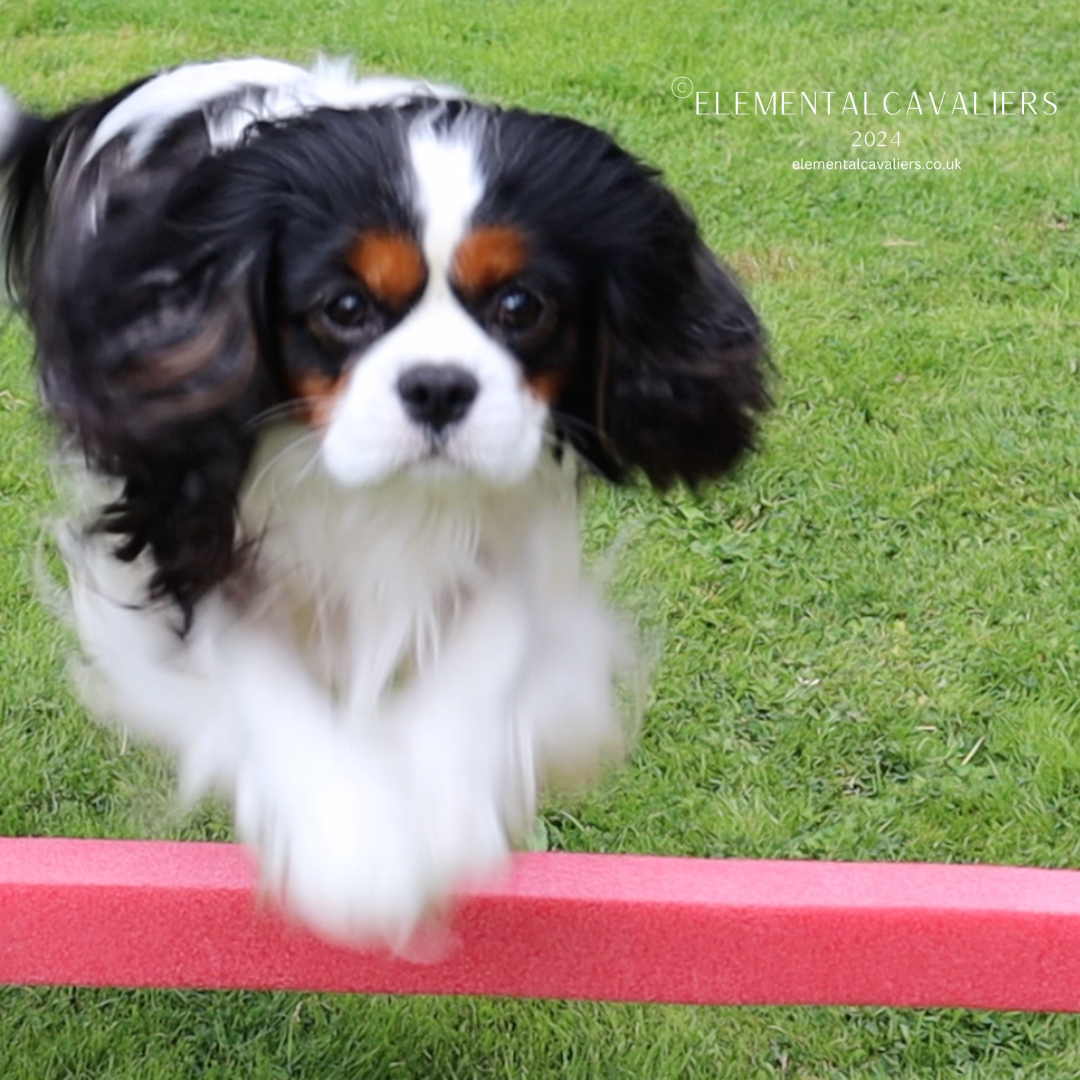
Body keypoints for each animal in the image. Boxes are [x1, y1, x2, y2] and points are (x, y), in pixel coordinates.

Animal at [0, 59, 768, 946]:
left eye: (521, 307)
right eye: (344, 309)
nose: (438, 386)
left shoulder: (513, 520)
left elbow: (491, 645)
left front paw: (439, 803)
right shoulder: (180, 527)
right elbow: (259, 676)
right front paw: (352, 842)